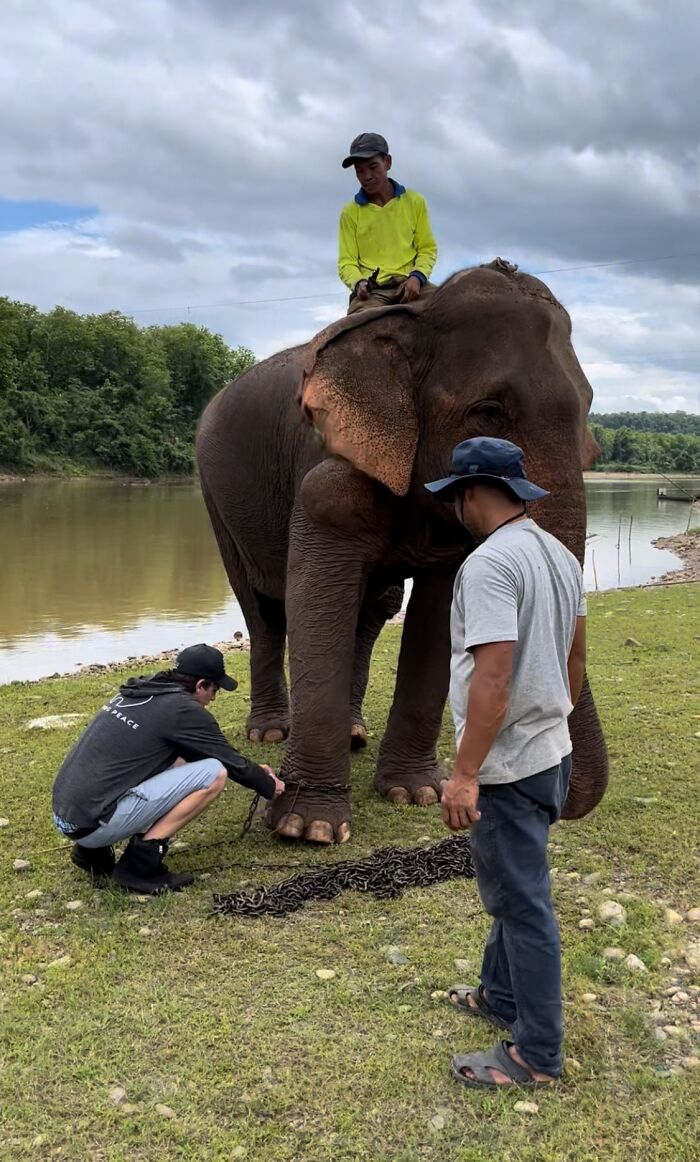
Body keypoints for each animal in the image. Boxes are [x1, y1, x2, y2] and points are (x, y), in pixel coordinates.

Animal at [196, 259, 608, 844]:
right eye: (489, 411)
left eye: (589, 407)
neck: (418, 312)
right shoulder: (326, 478)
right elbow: (315, 602)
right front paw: (309, 828)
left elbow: (439, 613)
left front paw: (416, 795)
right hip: (215, 496)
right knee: (264, 611)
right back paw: (272, 733)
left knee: (373, 609)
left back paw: (353, 733)